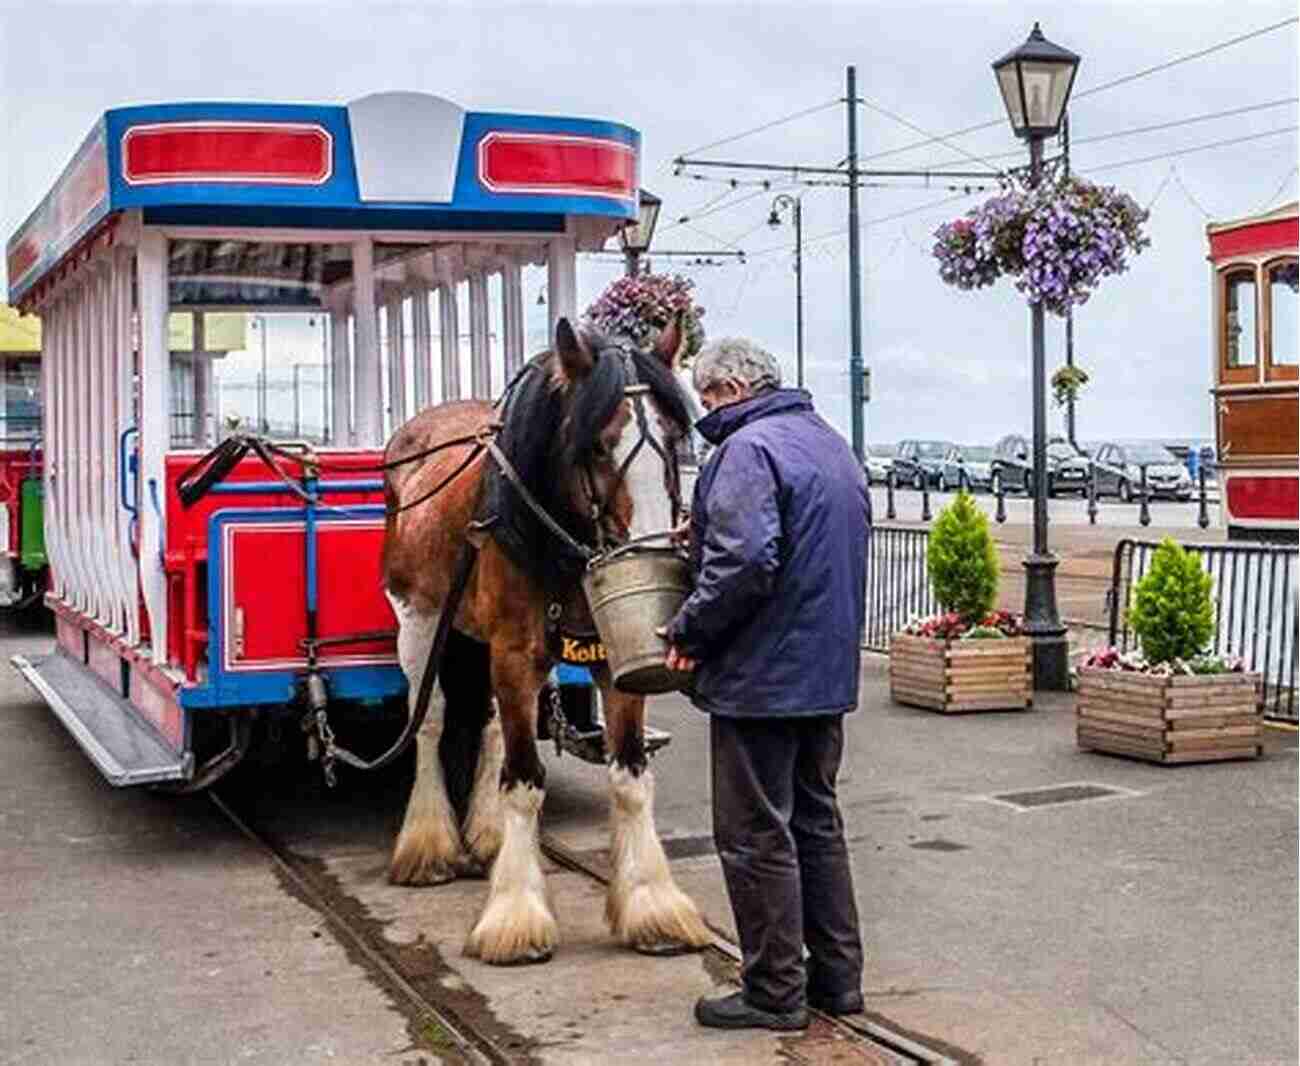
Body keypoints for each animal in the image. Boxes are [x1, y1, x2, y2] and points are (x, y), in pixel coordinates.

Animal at [379, 315, 717, 967]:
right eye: (598, 444)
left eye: (673, 438)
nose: (652, 552)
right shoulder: (516, 652)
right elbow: (524, 782)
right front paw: (515, 917)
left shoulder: (614, 657)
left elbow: (629, 778)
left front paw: (651, 906)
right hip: (421, 618)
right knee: (429, 721)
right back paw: (428, 846)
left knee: (486, 722)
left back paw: (484, 835)